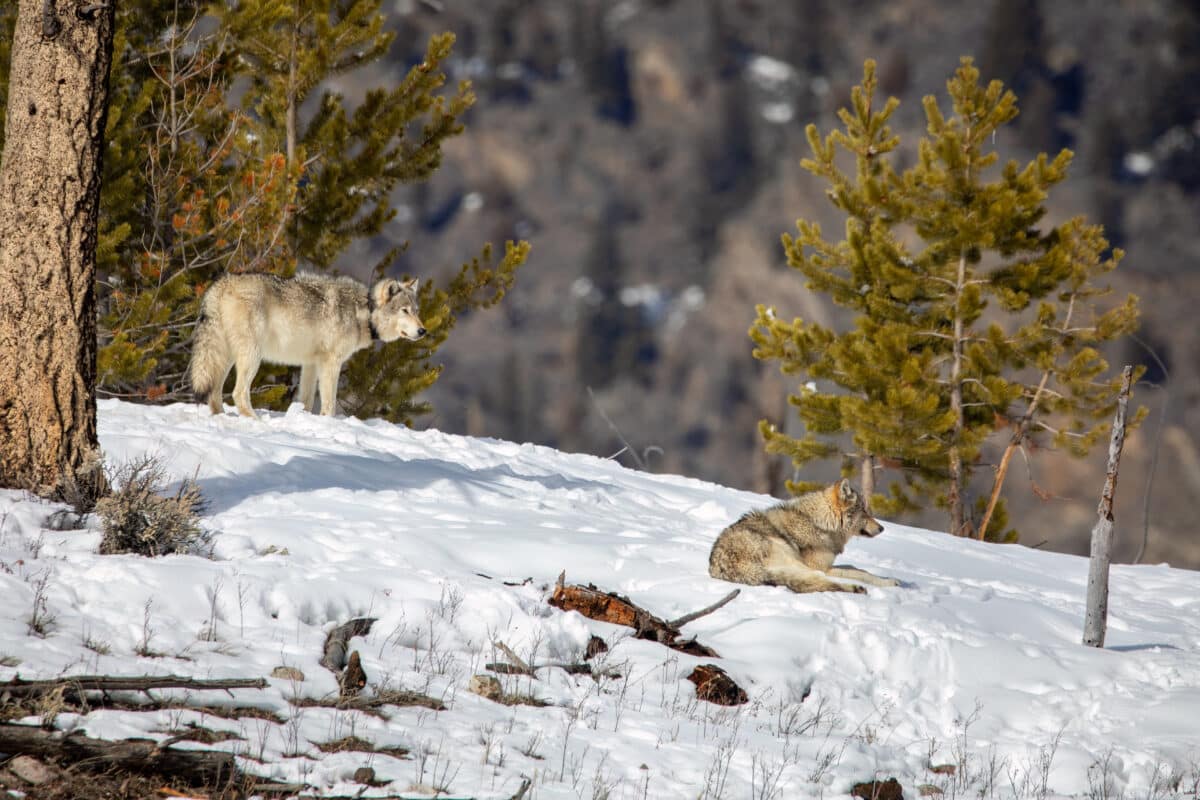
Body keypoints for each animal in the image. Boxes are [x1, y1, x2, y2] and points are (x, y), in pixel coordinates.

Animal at [190, 272, 426, 418]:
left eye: (416, 311)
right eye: (404, 311)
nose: (423, 331)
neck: (364, 312)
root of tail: (221, 283)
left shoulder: (311, 364)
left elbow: (306, 401)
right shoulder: (331, 363)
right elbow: (329, 404)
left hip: (226, 357)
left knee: (214, 393)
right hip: (251, 356)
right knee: (238, 393)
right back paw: (256, 421)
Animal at [708, 479, 897, 594]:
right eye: (864, 512)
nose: (882, 528)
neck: (820, 523)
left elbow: (859, 568)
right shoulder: (822, 567)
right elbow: (859, 573)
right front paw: (888, 582)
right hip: (793, 558)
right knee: (820, 581)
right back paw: (856, 588)